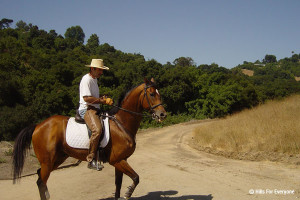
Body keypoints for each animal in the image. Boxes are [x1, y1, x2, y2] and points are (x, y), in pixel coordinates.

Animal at [12, 78, 166, 200]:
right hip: (48, 161)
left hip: (57, 159)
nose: (162, 114)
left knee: (40, 177)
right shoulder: (117, 160)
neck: (121, 123)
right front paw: (128, 193)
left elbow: (118, 184)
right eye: (152, 94)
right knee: (41, 181)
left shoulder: (121, 160)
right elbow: (136, 178)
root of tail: (38, 126)